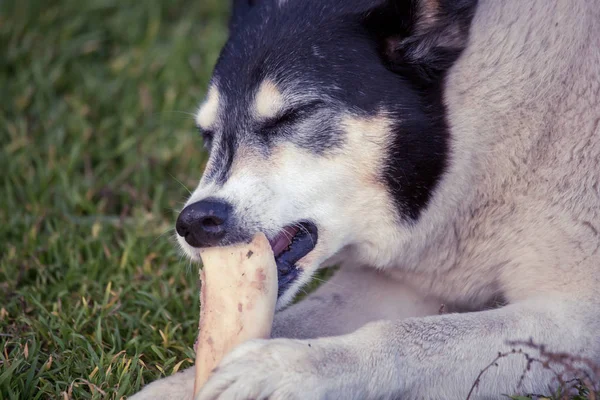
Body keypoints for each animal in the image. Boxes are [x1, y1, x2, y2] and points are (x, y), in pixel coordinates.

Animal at [131, 0, 600, 398]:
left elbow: (405, 336)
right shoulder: (400, 282)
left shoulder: (577, 318)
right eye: (205, 136)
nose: (193, 223)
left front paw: (284, 370)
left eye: (293, 116)